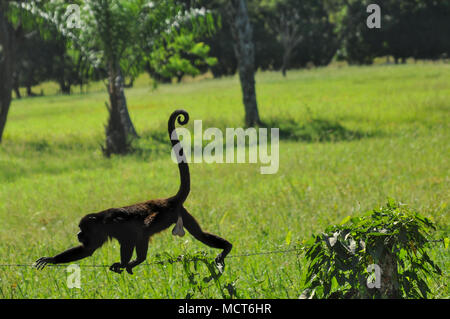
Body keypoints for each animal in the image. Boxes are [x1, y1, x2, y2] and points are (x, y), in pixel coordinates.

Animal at [34, 110, 232, 276]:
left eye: (82, 229)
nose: (78, 234)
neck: (101, 221)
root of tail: (168, 200)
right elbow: (88, 249)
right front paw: (52, 259)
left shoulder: (114, 224)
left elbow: (130, 237)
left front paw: (122, 263)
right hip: (181, 213)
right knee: (200, 235)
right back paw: (226, 247)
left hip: (164, 215)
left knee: (143, 230)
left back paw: (137, 261)